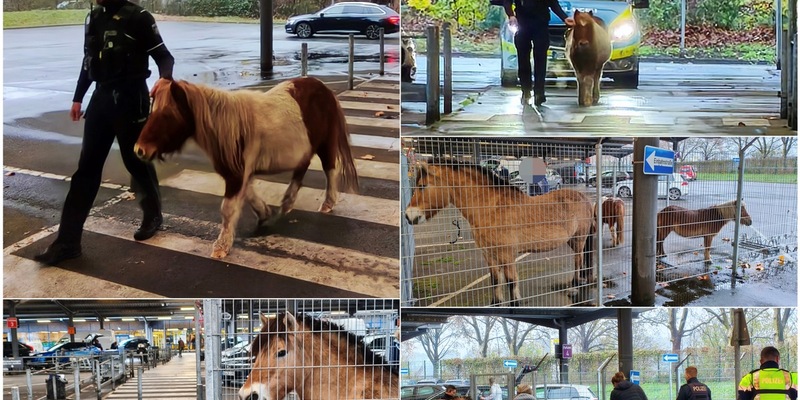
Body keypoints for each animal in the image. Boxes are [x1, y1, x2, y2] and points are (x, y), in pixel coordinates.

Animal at [133, 77, 359, 259]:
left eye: (167, 115)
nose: (139, 150)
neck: (229, 126)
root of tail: (324, 88)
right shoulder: (239, 172)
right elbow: (248, 193)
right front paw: (264, 213)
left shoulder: (237, 174)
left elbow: (228, 208)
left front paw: (221, 247)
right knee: (301, 168)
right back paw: (287, 202)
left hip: (325, 143)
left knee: (330, 169)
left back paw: (328, 203)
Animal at [404, 160, 596, 306]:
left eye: (422, 186)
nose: (408, 215)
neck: (492, 208)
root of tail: (584, 197)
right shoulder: (489, 254)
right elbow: (495, 280)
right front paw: (496, 303)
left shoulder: (507, 255)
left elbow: (511, 282)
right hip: (572, 240)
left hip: (579, 239)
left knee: (578, 260)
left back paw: (575, 287)